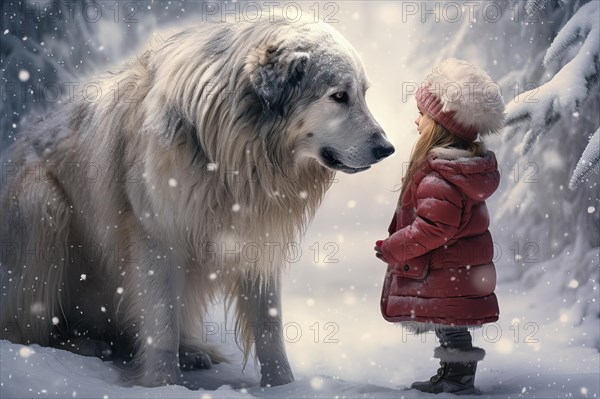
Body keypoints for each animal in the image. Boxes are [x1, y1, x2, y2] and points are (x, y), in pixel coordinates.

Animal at [0, 15, 394, 388]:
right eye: (338, 96)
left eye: (362, 94)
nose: (387, 149)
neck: (229, 154)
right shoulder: (157, 236)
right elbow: (160, 323)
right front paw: (161, 384)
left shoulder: (256, 237)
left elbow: (269, 328)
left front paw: (282, 385)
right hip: (42, 206)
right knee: (31, 331)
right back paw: (84, 344)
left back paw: (189, 351)